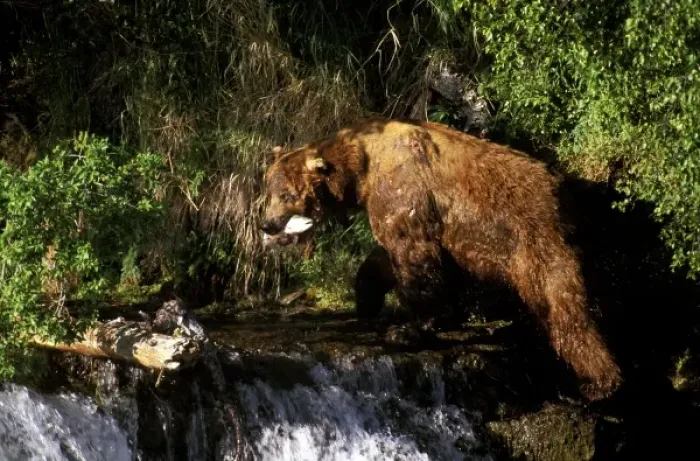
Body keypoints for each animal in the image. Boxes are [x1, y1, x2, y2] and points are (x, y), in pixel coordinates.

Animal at [260, 117, 622, 400]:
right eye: (269, 192)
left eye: (288, 194)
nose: (268, 224)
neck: (362, 168)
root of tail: (569, 194)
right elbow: (384, 258)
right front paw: (366, 302)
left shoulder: (404, 192)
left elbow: (414, 259)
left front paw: (407, 329)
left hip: (536, 239)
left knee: (562, 305)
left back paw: (599, 382)